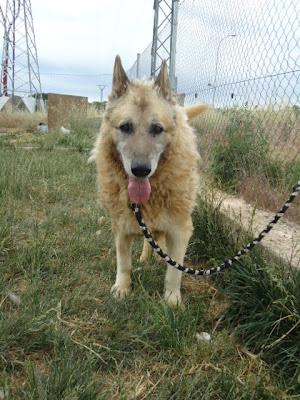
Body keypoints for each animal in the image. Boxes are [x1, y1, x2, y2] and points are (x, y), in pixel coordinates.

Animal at [91, 56, 207, 306]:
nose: (141, 170)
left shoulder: (180, 230)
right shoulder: (121, 227)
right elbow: (124, 263)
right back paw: (146, 257)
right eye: (125, 127)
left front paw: (172, 300)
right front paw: (122, 288)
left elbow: (174, 272)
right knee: (148, 240)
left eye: (157, 129)